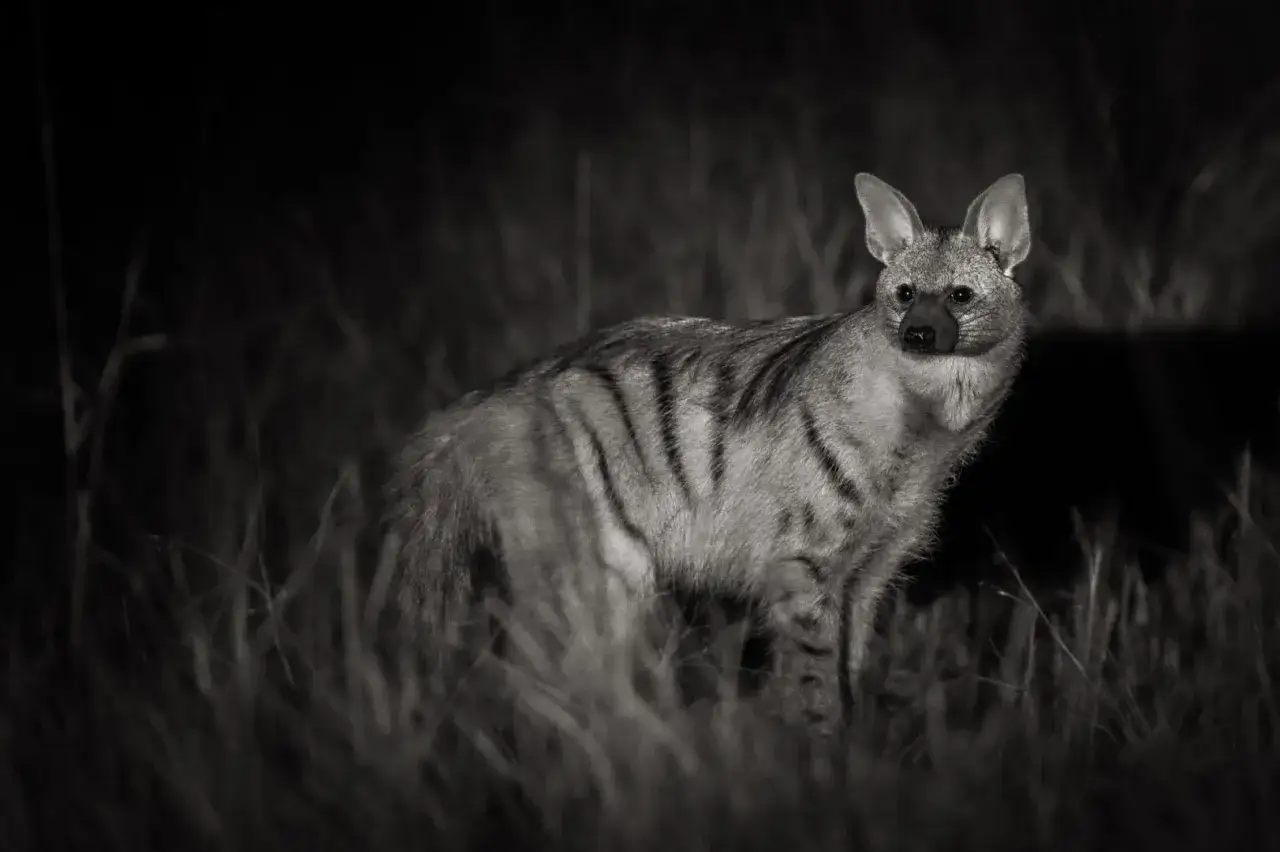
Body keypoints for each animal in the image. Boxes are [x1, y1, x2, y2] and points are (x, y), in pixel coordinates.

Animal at [386, 172, 1032, 732]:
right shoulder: (801, 560)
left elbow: (849, 664)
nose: (918, 334)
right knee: (545, 669)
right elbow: (813, 677)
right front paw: (819, 756)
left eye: (960, 296)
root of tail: (480, 407)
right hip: (589, 556)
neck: (921, 435)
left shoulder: (871, 567)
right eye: (904, 294)